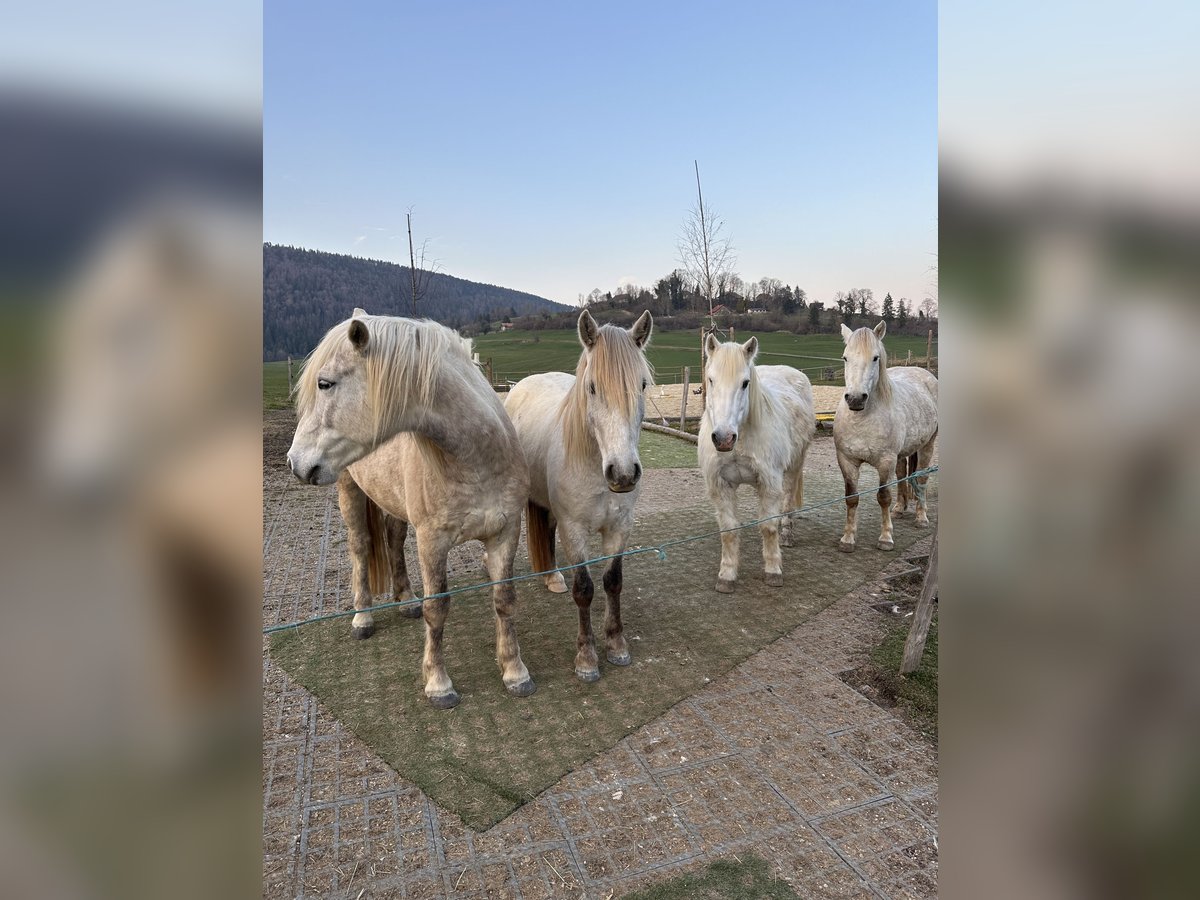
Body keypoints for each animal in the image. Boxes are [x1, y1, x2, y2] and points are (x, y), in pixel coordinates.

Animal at [287, 311, 535, 709]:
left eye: (325, 383)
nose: (295, 462)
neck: (477, 462)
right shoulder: (432, 542)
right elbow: (438, 608)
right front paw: (438, 684)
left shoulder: (505, 532)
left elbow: (504, 599)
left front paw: (515, 672)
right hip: (349, 491)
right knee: (361, 548)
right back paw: (363, 618)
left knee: (392, 540)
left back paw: (405, 600)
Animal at [504, 309, 653, 682]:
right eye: (592, 387)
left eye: (643, 385)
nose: (623, 473)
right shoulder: (575, 531)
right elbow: (584, 590)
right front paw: (586, 658)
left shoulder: (619, 528)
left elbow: (613, 582)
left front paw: (616, 644)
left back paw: (552, 577)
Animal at [698, 334, 816, 593]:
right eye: (711, 379)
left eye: (745, 383)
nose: (723, 438)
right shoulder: (720, 486)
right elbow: (729, 531)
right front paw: (727, 576)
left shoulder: (770, 483)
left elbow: (768, 527)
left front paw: (773, 571)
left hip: (794, 466)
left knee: (788, 501)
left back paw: (787, 534)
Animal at [833, 321, 938, 552]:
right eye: (845, 357)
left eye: (875, 358)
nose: (855, 399)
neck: (863, 419)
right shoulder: (847, 461)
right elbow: (851, 497)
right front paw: (847, 539)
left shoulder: (885, 462)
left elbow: (883, 497)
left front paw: (886, 538)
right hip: (901, 455)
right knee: (901, 475)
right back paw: (899, 509)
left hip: (927, 445)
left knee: (921, 478)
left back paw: (921, 518)